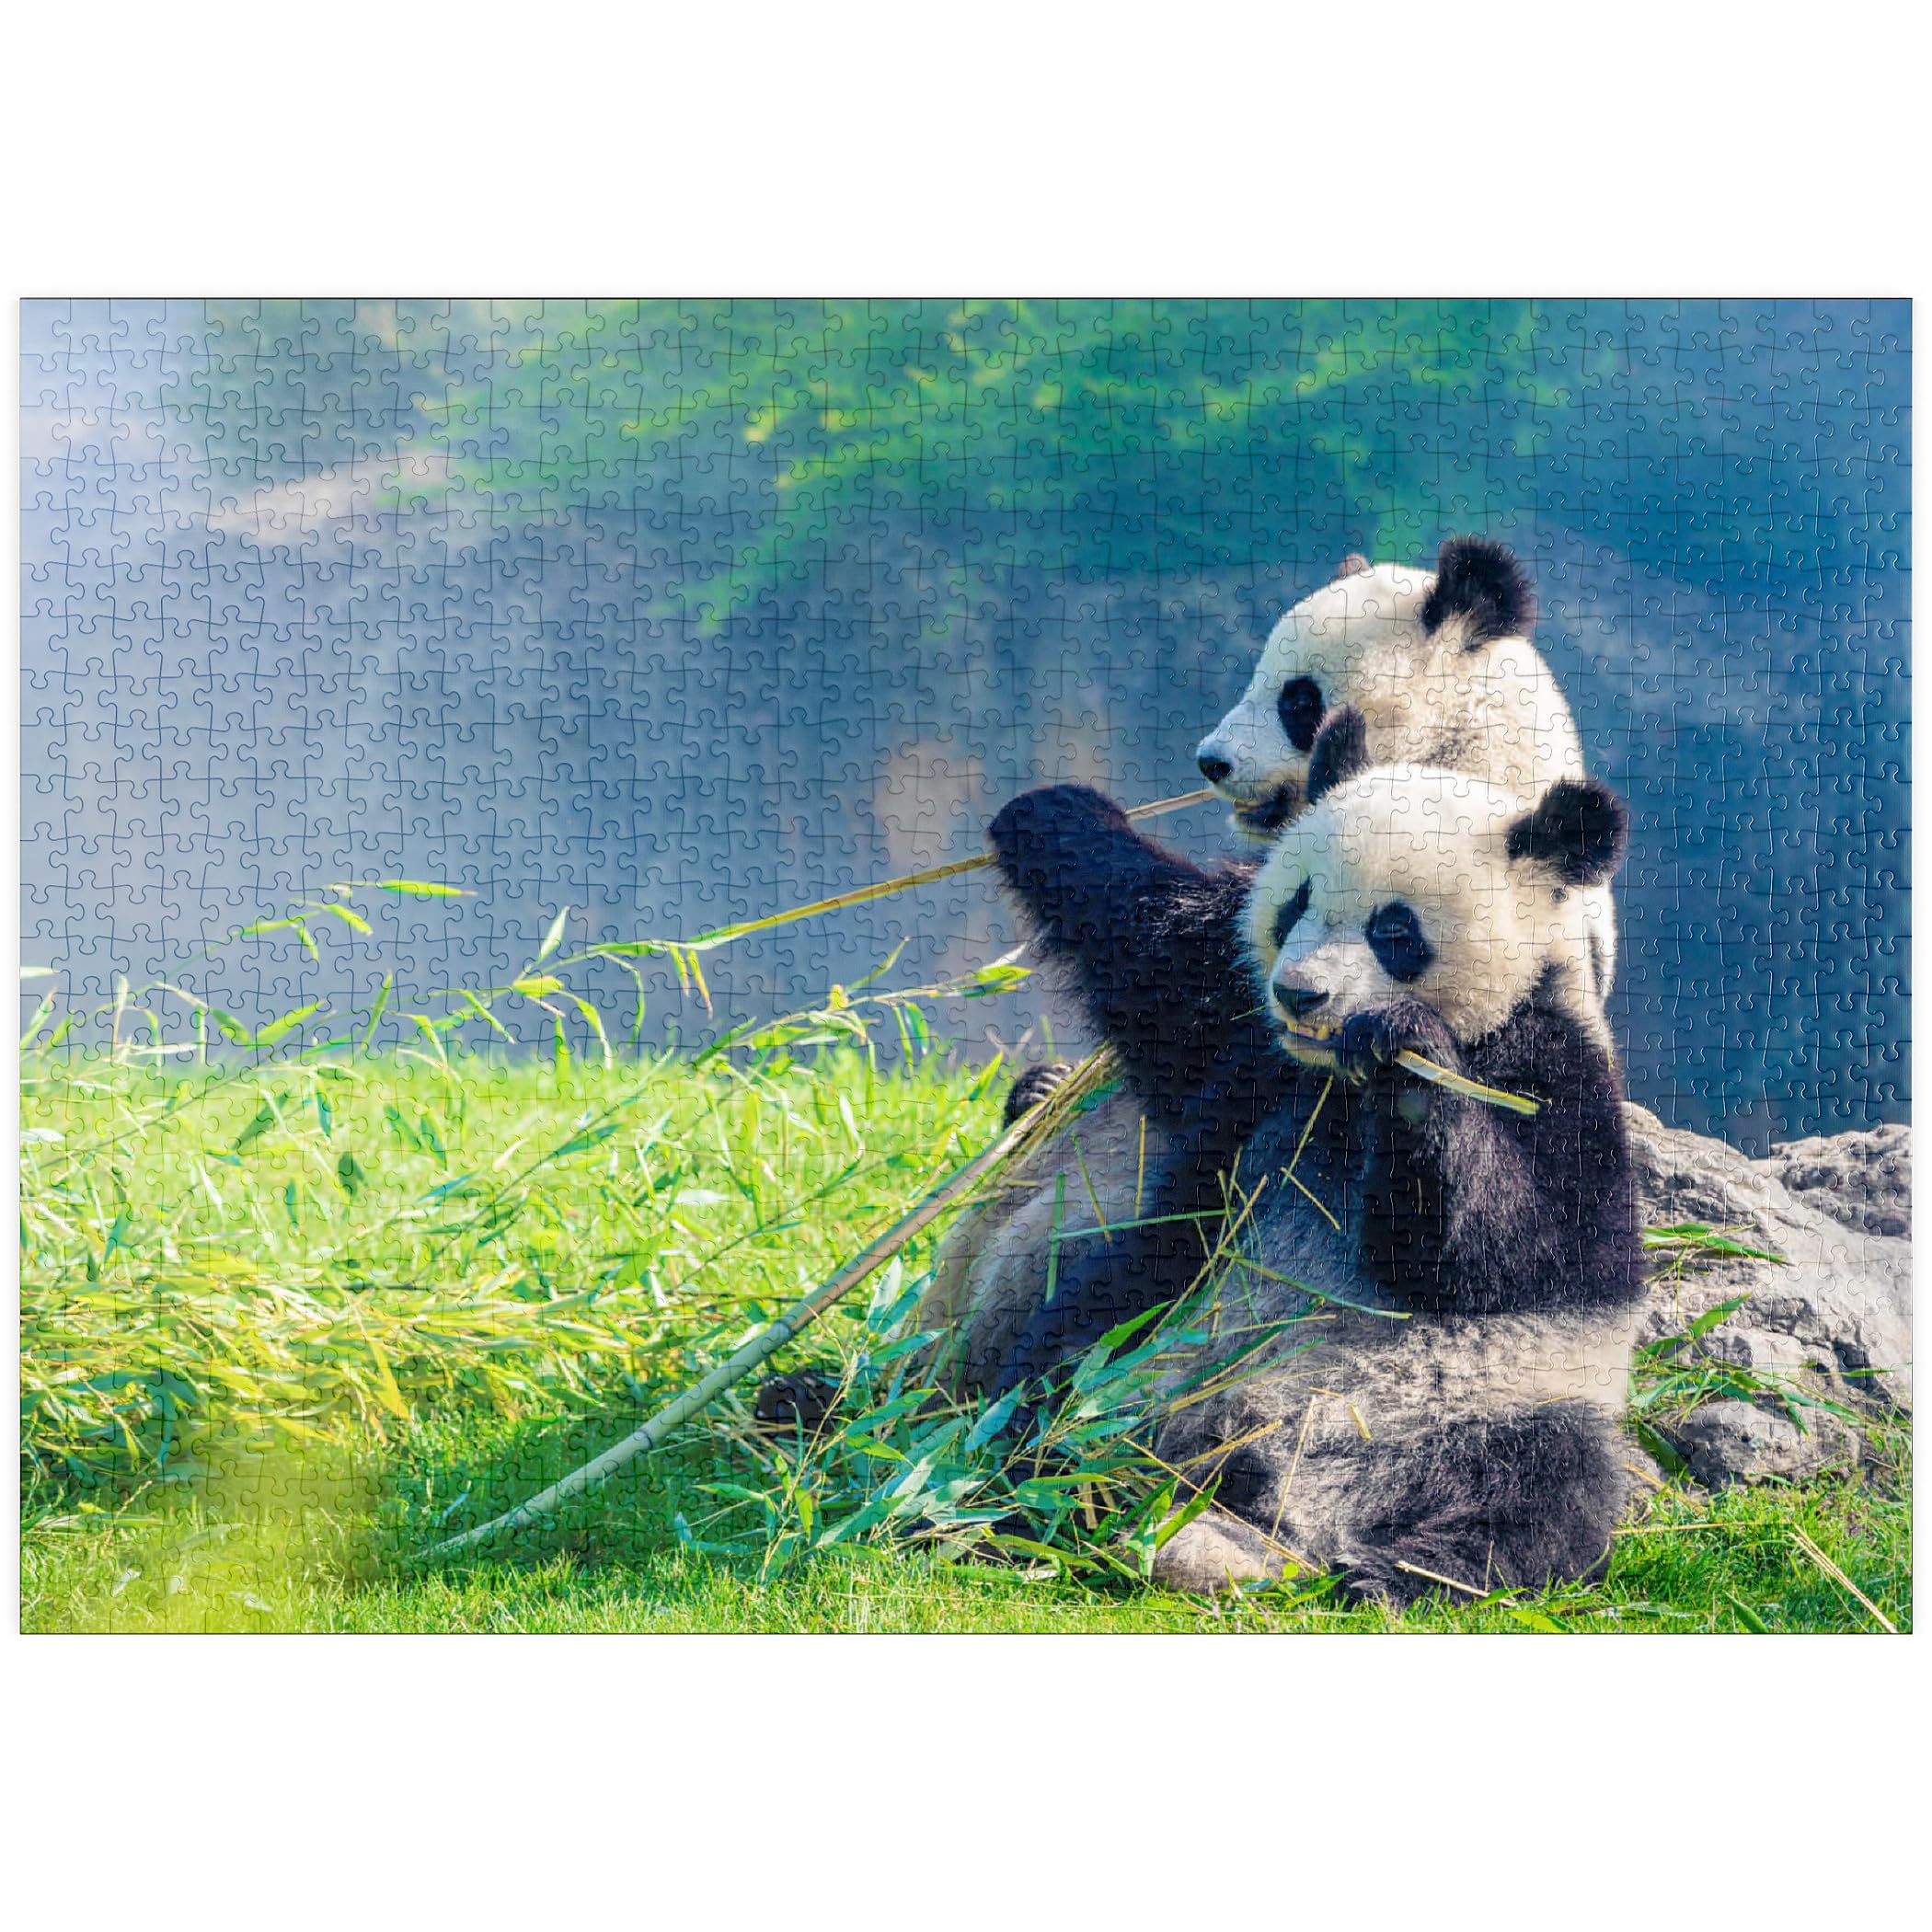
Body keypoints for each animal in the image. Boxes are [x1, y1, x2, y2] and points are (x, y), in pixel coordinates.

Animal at [936, 708, 1643, 1603]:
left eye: (1393, 929)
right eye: (1296, 901)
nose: (1300, 994)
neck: (1334, 1084)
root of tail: (1276, 1500)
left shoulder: (1553, 1069)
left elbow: (1518, 1253)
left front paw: (1408, 1056)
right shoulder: (1254, 1066)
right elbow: (1165, 971)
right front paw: (1052, 811)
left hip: (1496, 1403)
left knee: (1543, 1495)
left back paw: (1395, 1573)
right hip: (1151, 1335)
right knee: (1066, 1363)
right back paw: (1016, 1484)